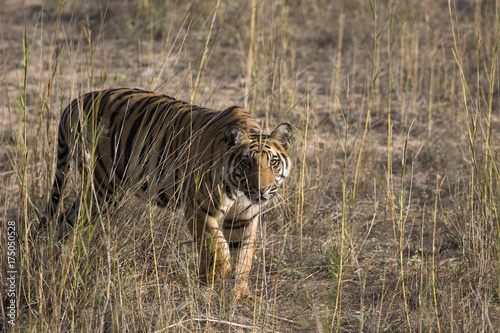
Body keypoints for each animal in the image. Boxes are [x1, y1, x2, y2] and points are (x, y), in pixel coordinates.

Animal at [47, 87, 292, 300]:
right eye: (246, 162)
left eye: (273, 162)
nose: (262, 189)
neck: (240, 192)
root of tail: (75, 102)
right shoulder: (200, 209)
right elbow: (217, 249)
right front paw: (209, 280)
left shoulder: (245, 218)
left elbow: (243, 258)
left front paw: (240, 295)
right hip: (103, 187)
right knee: (75, 223)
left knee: (65, 221)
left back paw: (56, 258)